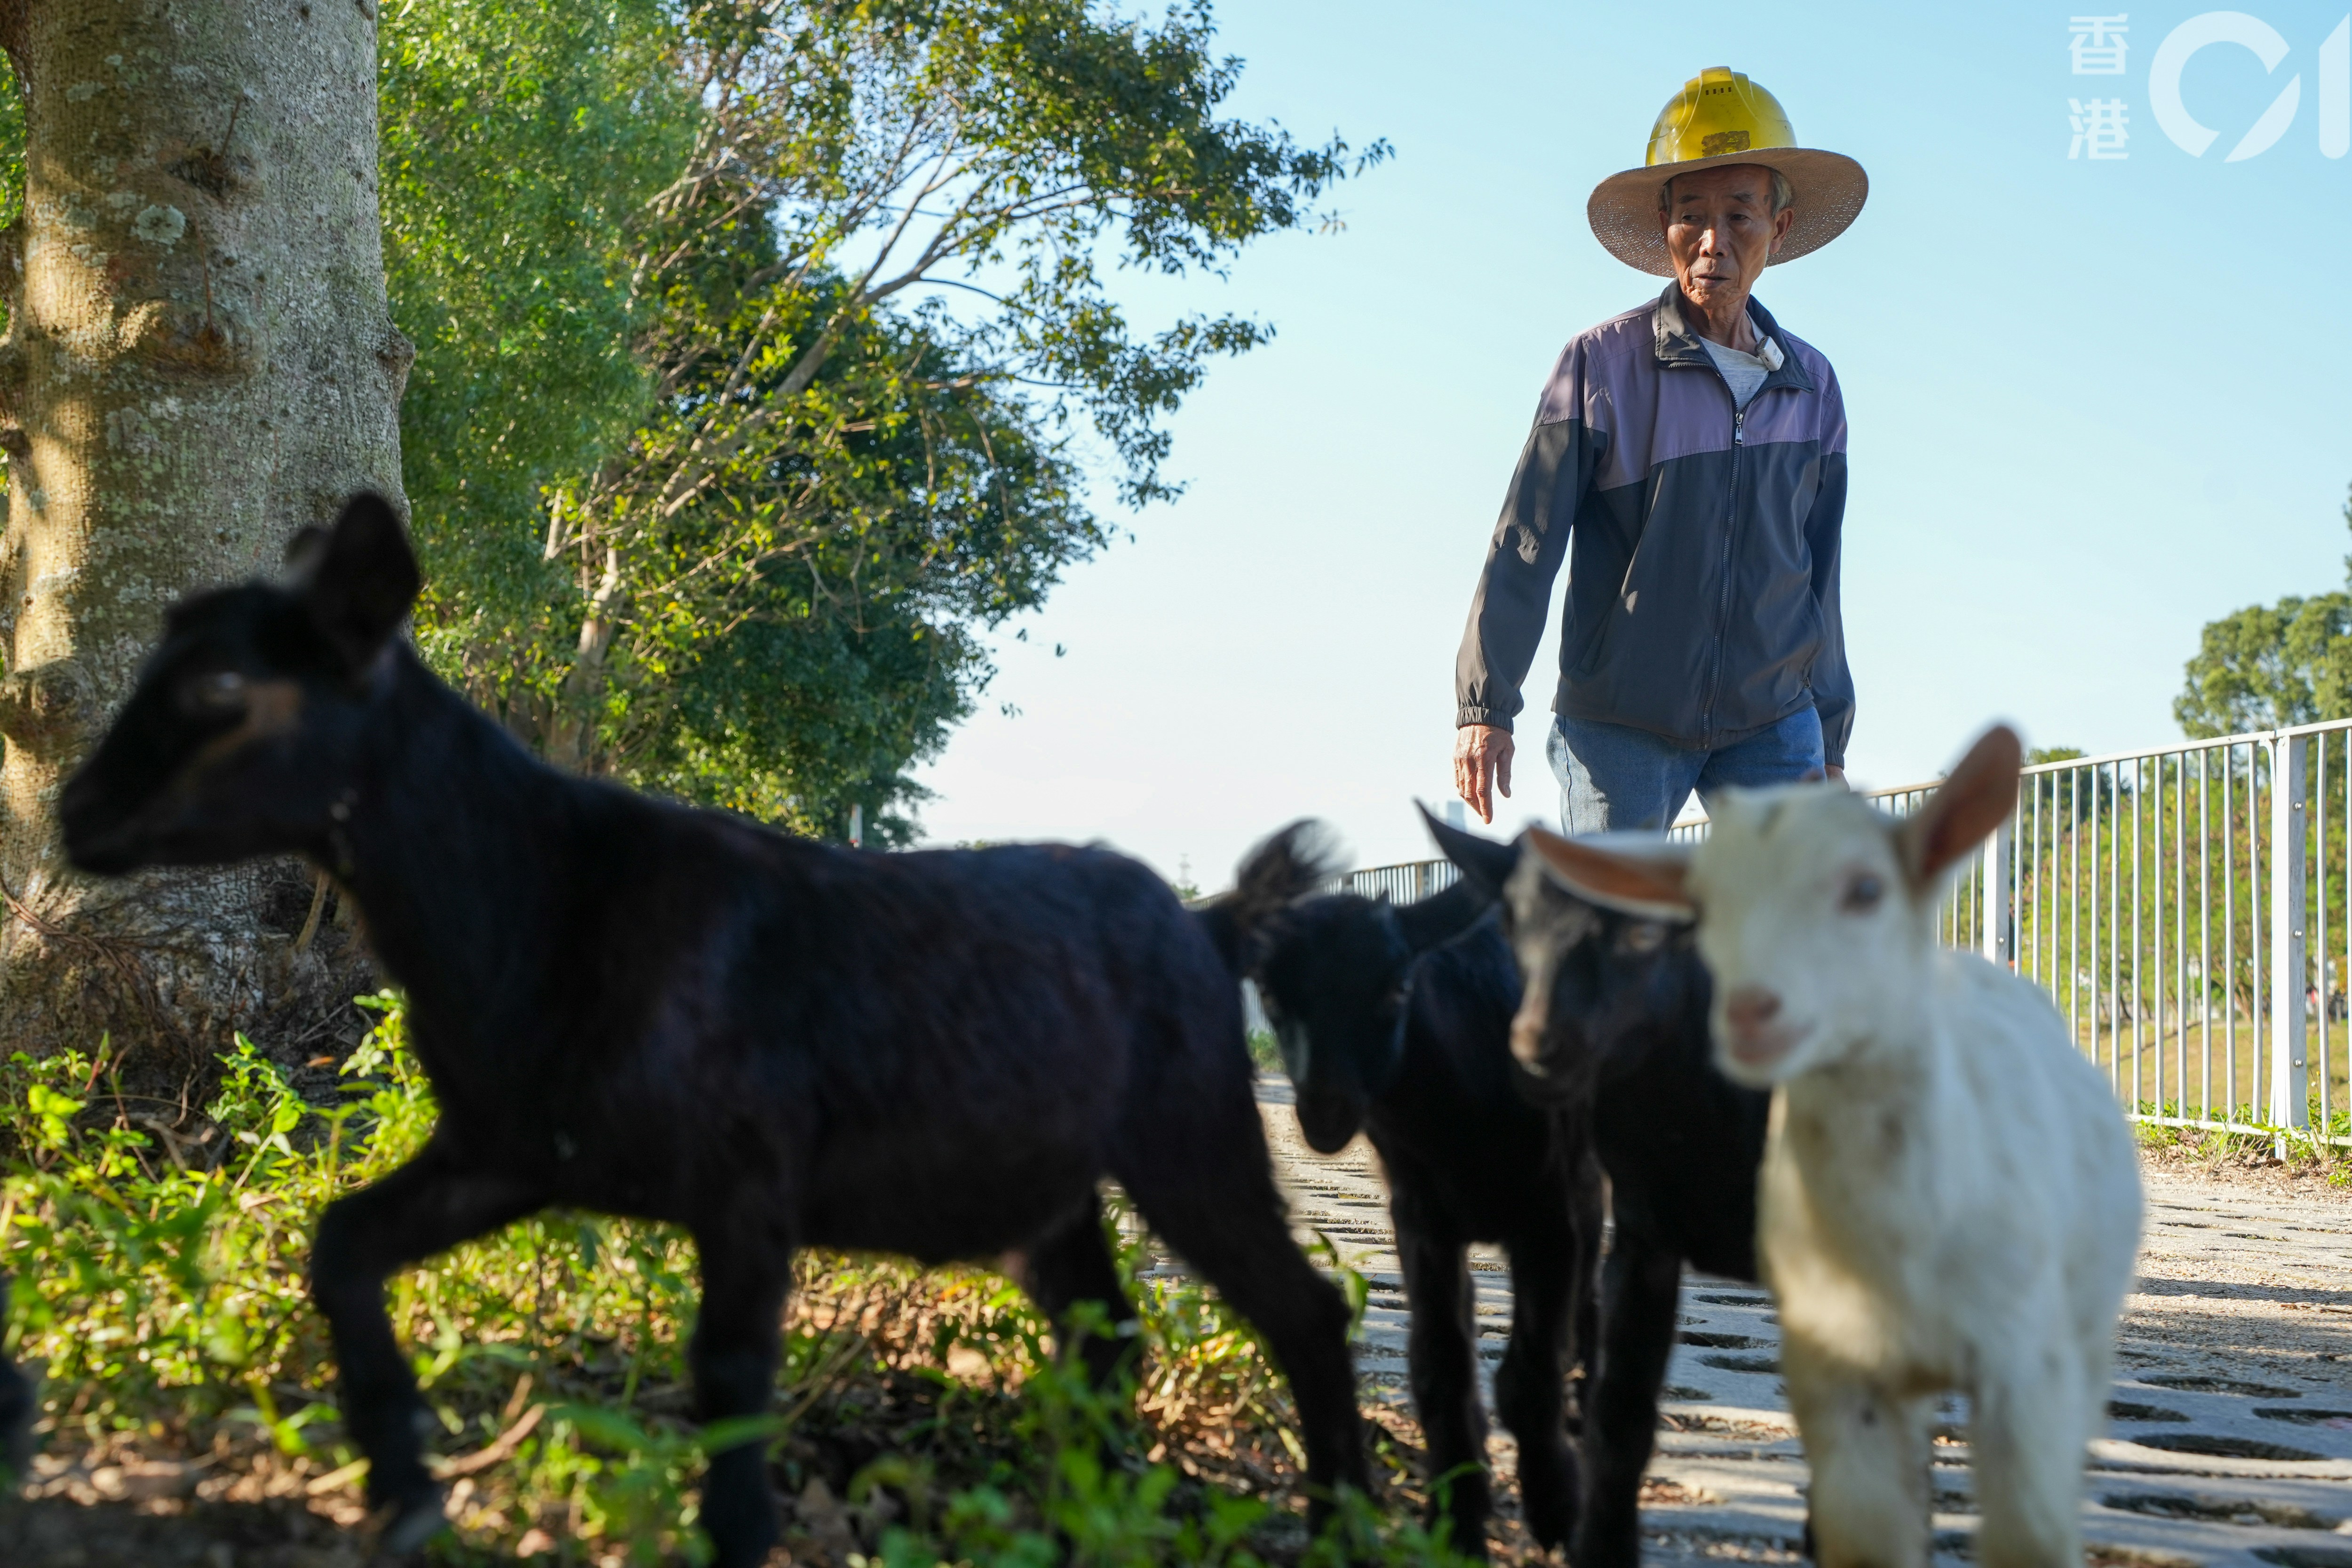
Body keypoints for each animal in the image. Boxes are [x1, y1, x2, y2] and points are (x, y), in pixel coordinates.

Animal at [64, 496, 1374, 1561]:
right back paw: (1070, 1533)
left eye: (223, 689)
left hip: (1190, 1130)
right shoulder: (511, 1149)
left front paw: (728, 1535)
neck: (539, 894)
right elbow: (341, 1242)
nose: (75, 810)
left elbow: (732, 1381)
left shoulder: (748, 1177)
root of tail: (1211, 921)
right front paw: (404, 1490)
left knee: (1304, 1311)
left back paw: (1340, 1527)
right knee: (1103, 1340)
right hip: (1044, 1185)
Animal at [1204, 827, 1609, 1561]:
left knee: (1589, 1308)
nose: (1326, 1110)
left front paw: (1555, 1509)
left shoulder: (1552, 1214)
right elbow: (1438, 1368)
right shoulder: (1421, 1220)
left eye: (1396, 990)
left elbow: (1528, 1375)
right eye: (1272, 996)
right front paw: (1458, 1524)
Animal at [1411, 818, 1769, 1568]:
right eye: (1512, 921)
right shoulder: (1642, 1239)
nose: (1537, 1049)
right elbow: (1621, 1417)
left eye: (1645, 933)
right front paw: (1599, 1543)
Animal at [1524, 729, 2154, 1568]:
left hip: (2081, 1330)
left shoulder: (2027, 1369)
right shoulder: (1835, 1374)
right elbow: (1867, 1536)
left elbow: (2032, 1533)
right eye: (1707, 907)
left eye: (1865, 889)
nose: (1751, 1010)